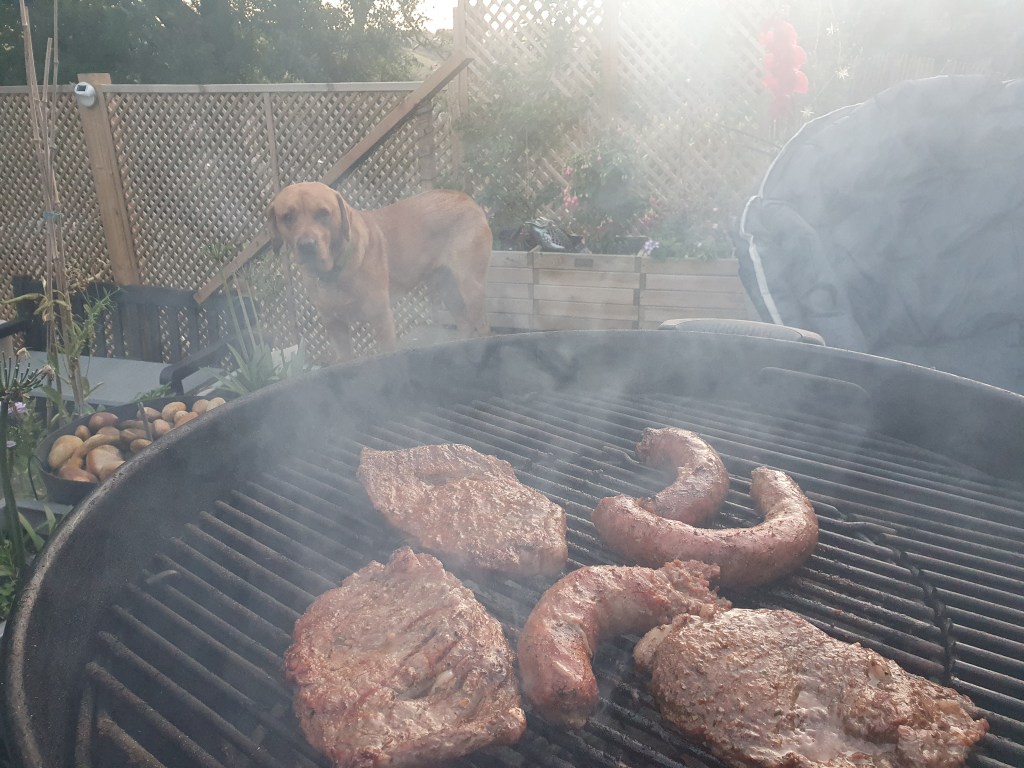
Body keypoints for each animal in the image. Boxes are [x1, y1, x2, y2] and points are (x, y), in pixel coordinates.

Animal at [267, 181, 492, 361]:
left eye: (323, 213)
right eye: (287, 217)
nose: (307, 245)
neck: (334, 273)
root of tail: (465, 198)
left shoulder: (380, 317)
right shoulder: (335, 325)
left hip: (471, 286)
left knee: (481, 327)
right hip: (446, 287)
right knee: (464, 324)